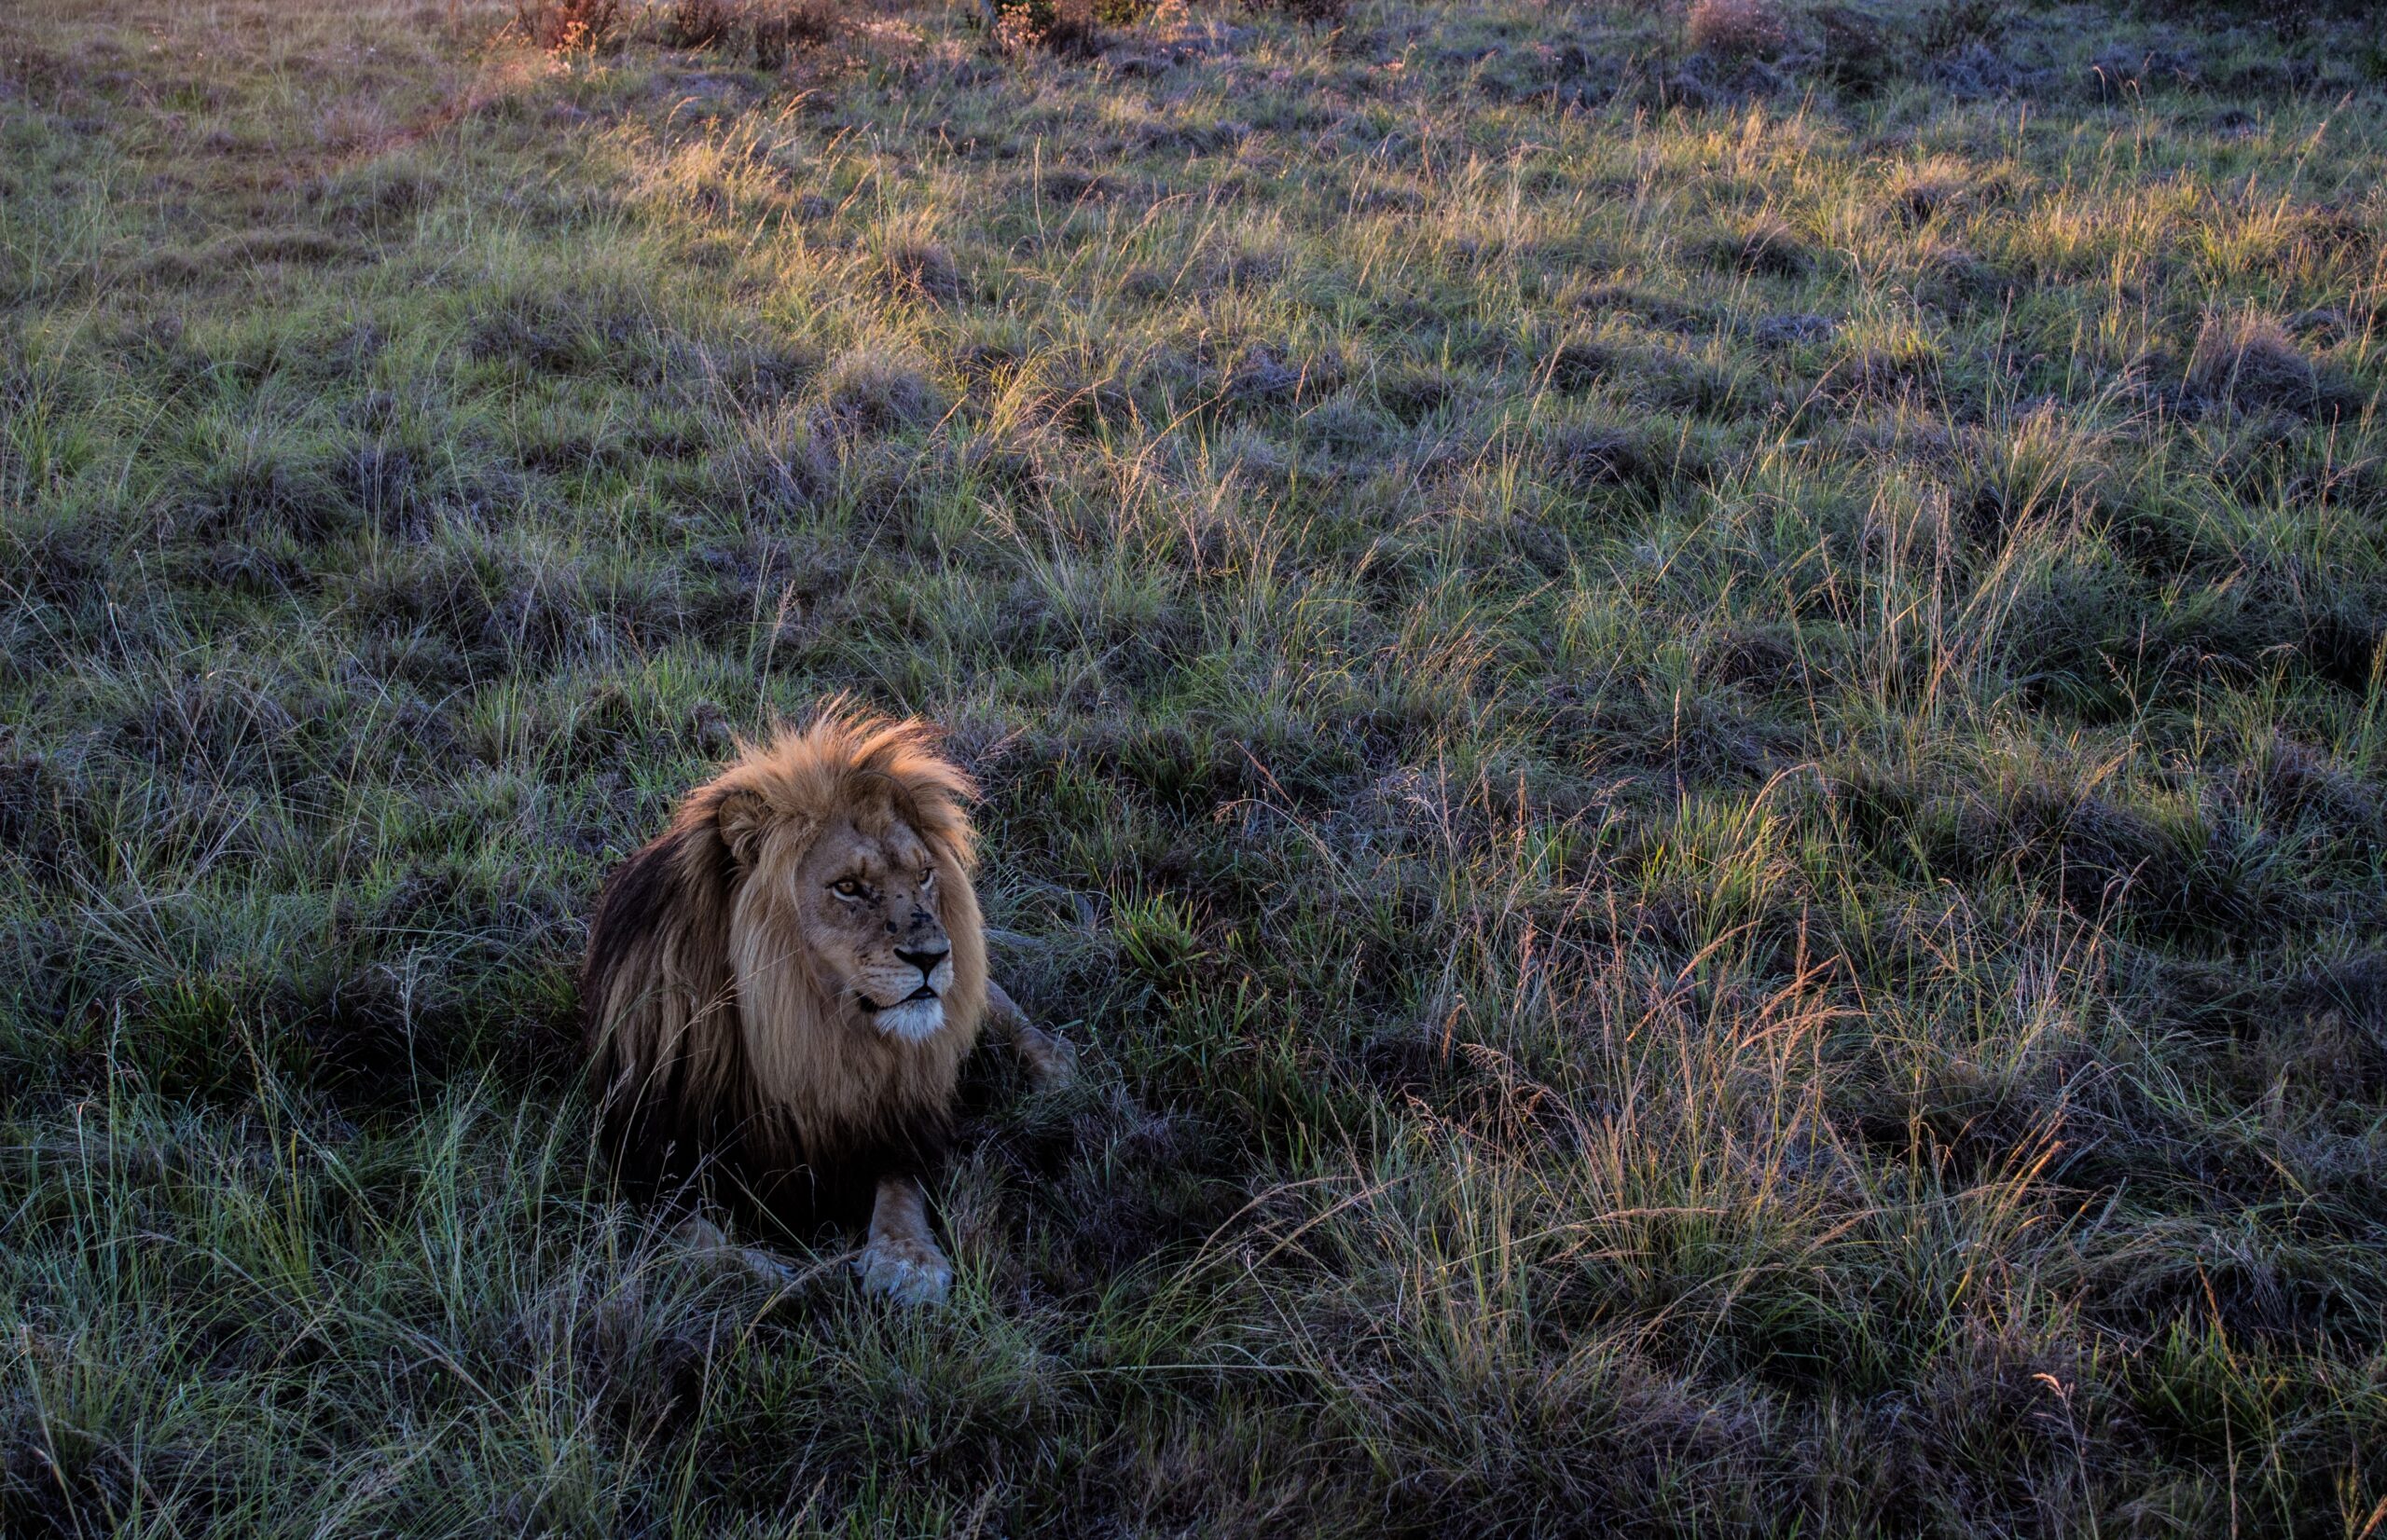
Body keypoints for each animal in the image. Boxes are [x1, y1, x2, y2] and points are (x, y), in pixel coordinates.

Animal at [579, 705, 1073, 1305]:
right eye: (848, 887)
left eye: (924, 875)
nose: (933, 956)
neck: (807, 1028)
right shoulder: (643, 1156)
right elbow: (692, 1239)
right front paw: (788, 1278)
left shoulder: (896, 1114)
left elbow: (900, 1184)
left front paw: (907, 1260)